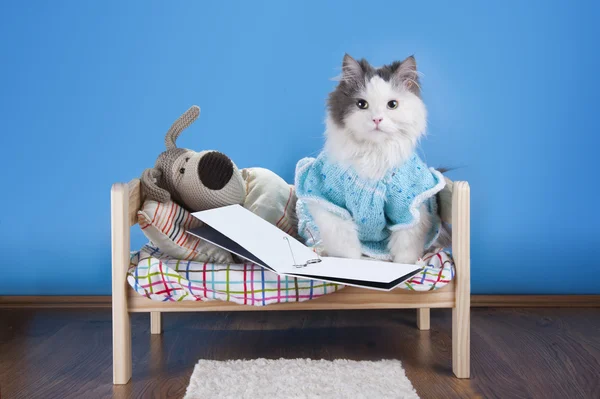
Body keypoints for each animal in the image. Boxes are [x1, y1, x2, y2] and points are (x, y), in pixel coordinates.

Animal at [292, 54, 448, 266]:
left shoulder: (408, 209)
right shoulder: (327, 201)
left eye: (392, 105)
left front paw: (405, 267)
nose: (377, 119)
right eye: (361, 104)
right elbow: (345, 246)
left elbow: (405, 249)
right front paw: (352, 264)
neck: (373, 154)